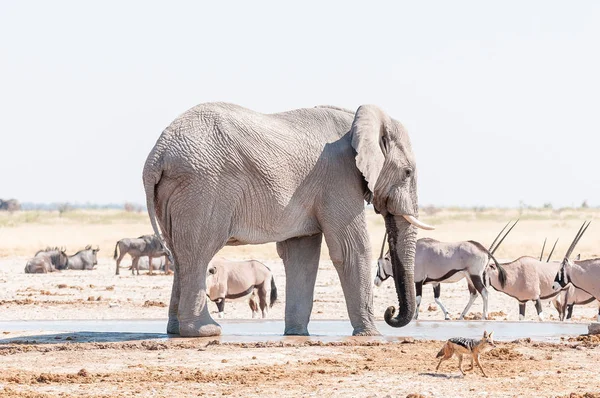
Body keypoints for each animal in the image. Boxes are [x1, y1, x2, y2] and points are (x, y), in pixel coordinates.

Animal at [142, 102, 432, 336]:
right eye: (407, 173)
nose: (390, 311)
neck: (358, 119)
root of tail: (157, 154)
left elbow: (302, 255)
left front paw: (297, 334)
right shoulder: (339, 179)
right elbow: (351, 250)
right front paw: (371, 335)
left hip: (179, 191)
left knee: (180, 255)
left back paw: (176, 331)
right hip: (203, 188)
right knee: (198, 253)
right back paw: (206, 331)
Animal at [376, 219, 516, 318]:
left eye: (378, 264)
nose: (376, 281)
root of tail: (482, 248)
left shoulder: (418, 281)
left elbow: (418, 298)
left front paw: (415, 317)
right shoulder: (435, 282)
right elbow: (437, 298)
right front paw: (447, 316)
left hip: (474, 275)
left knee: (484, 292)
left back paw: (484, 316)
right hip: (469, 277)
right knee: (474, 293)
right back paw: (461, 316)